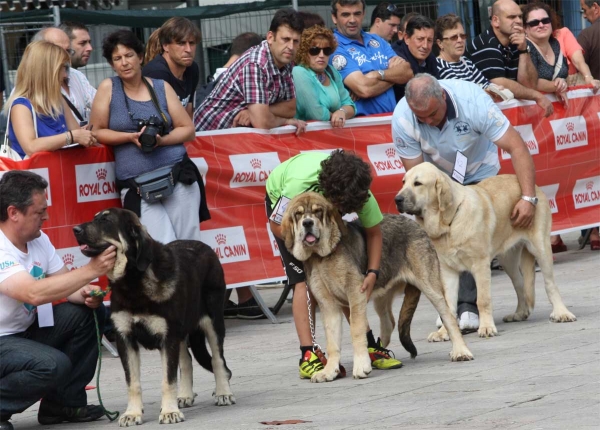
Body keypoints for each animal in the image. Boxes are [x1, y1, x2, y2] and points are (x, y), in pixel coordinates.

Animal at [282, 191, 474, 382]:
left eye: (318, 212)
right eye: (298, 214)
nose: (307, 223)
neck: (321, 257)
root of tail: (415, 224)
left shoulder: (355, 294)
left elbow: (356, 331)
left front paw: (361, 365)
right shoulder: (328, 305)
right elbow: (332, 342)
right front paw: (330, 371)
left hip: (430, 287)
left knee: (449, 317)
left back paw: (461, 351)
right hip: (381, 296)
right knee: (389, 321)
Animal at [394, 162, 576, 340]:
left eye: (418, 183)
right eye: (403, 182)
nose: (397, 199)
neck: (450, 222)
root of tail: (532, 187)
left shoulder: (480, 265)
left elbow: (483, 300)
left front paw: (487, 327)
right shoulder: (447, 271)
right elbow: (449, 305)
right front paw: (445, 332)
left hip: (541, 248)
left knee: (550, 283)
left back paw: (561, 312)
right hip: (508, 260)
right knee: (520, 284)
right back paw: (520, 313)